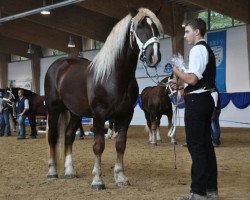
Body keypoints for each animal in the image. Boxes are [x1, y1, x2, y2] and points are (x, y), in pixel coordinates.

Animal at [44, 7, 163, 189]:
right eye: (139, 27)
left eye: (156, 28)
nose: (154, 57)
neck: (113, 77)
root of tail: (58, 65)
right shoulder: (99, 116)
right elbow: (98, 146)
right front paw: (97, 181)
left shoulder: (125, 116)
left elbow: (120, 145)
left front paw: (121, 177)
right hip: (53, 109)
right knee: (52, 137)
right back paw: (52, 172)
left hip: (75, 113)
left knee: (69, 136)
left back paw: (70, 171)